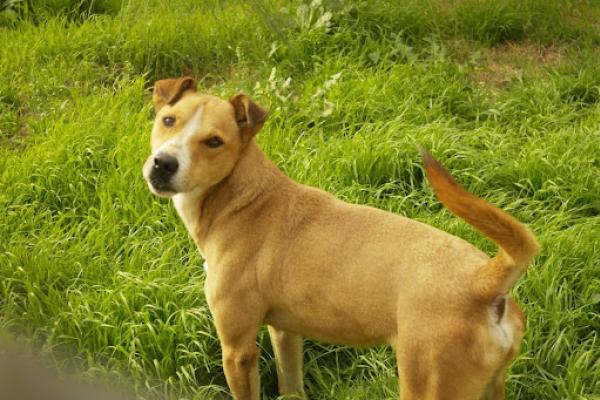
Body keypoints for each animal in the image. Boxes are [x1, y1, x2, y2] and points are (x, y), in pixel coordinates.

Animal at [142, 76, 540, 398]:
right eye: (168, 120)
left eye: (213, 141)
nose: (163, 163)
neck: (242, 197)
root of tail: (483, 281)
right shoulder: (285, 331)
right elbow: (291, 384)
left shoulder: (237, 348)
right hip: (490, 387)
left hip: (427, 385)